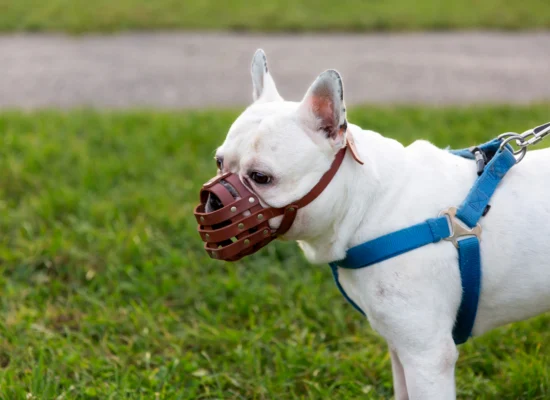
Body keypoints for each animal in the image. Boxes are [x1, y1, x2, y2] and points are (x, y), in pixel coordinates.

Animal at [210, 50, 550, 400]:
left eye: (261, 178)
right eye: (219, 162)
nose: (214, 201)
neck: (369, 204)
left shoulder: (427, 356)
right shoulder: (400, 346)